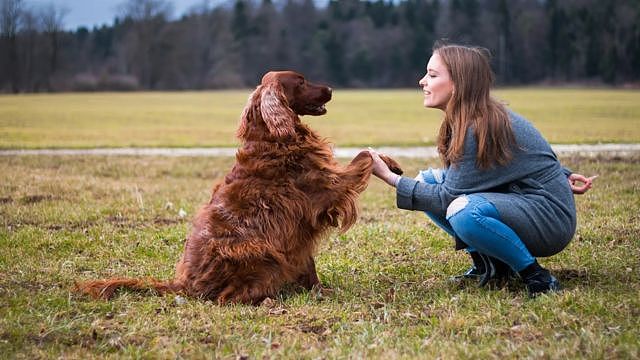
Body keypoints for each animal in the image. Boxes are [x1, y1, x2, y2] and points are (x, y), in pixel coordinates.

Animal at [77, 70, 402, 304]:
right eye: (301, 81)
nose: (332, 89)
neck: (272, 138)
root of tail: (183, 284)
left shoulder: (298, 230)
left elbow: (308, 266)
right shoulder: (328, 188)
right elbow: (363, 156)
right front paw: (385, 162)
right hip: (261, 252)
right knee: (227, 298)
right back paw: (267, 300)